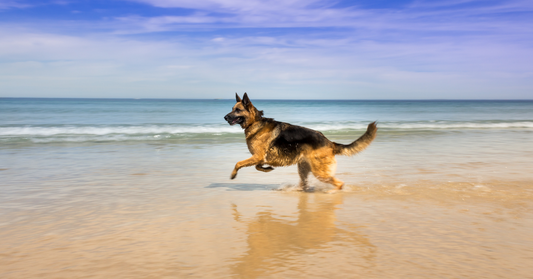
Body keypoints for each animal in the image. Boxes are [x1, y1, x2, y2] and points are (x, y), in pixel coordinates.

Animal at [222, 93, 376, 192]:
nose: (225, 117)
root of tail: (330, 142)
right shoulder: (259, 158)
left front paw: (233, 175)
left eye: (237, 110)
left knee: (339, 184)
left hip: (319, 172)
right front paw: (267, 169)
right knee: (304, 184)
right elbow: (257, 166)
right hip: (303, 169)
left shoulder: (257, 156)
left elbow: (238, 163)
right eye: (232, 109)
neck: (255, 122)